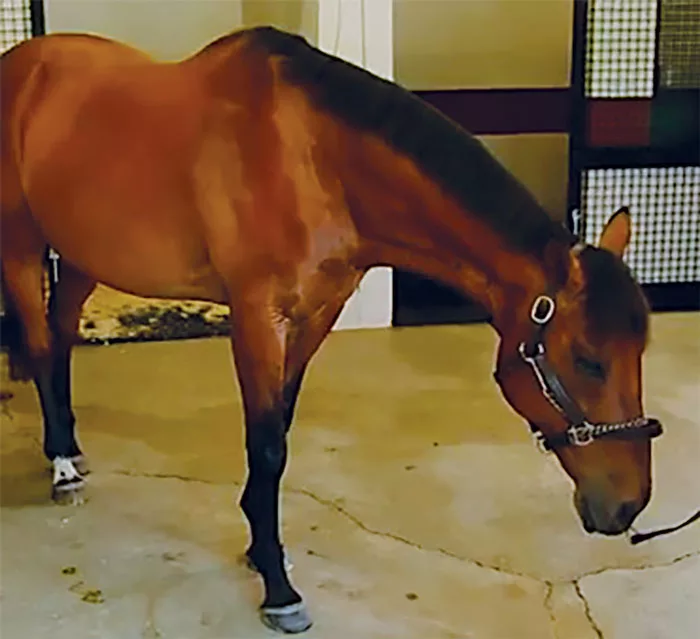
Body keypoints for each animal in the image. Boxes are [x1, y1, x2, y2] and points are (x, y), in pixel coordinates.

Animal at [0, 26, 664, 633]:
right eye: (588, 359)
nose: (628, 505)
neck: (313, 159)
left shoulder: (318, 313)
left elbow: (282, 428)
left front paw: (259, 544)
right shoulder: (257, 317)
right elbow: (267, 445)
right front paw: (277, 587)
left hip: (82, 254)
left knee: (60, 337)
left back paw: (71, 449)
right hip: (24, 247)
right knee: (39, 343)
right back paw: (61, 468)